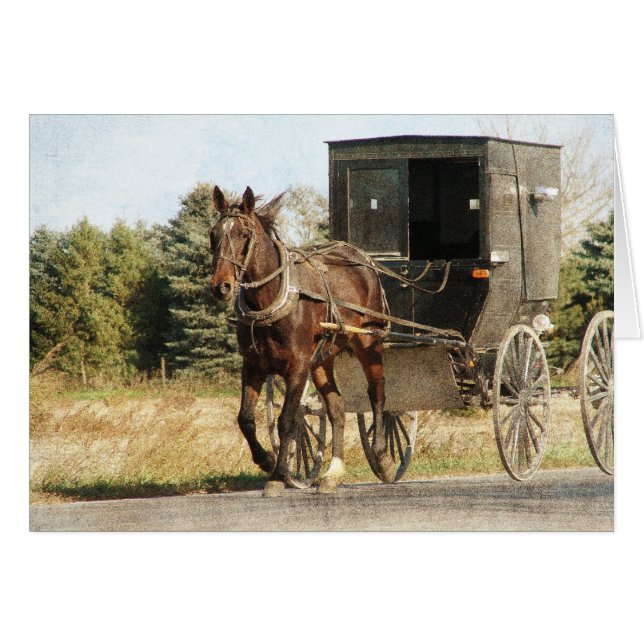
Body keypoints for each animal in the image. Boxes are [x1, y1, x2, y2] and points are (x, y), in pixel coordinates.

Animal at [209, 185, 393, 495]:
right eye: (214, 234)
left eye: (244, 234)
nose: (221, 286)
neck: (272, 299)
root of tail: (362, 259)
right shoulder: (253, 366)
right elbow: (245, 419)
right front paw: (266, 459)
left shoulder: (297, 366)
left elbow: (287, 419)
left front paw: (278, 474)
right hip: (321, 359)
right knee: (337, 408)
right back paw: (332, 473)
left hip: (369, 342)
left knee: (377, 390)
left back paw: (381, 455)